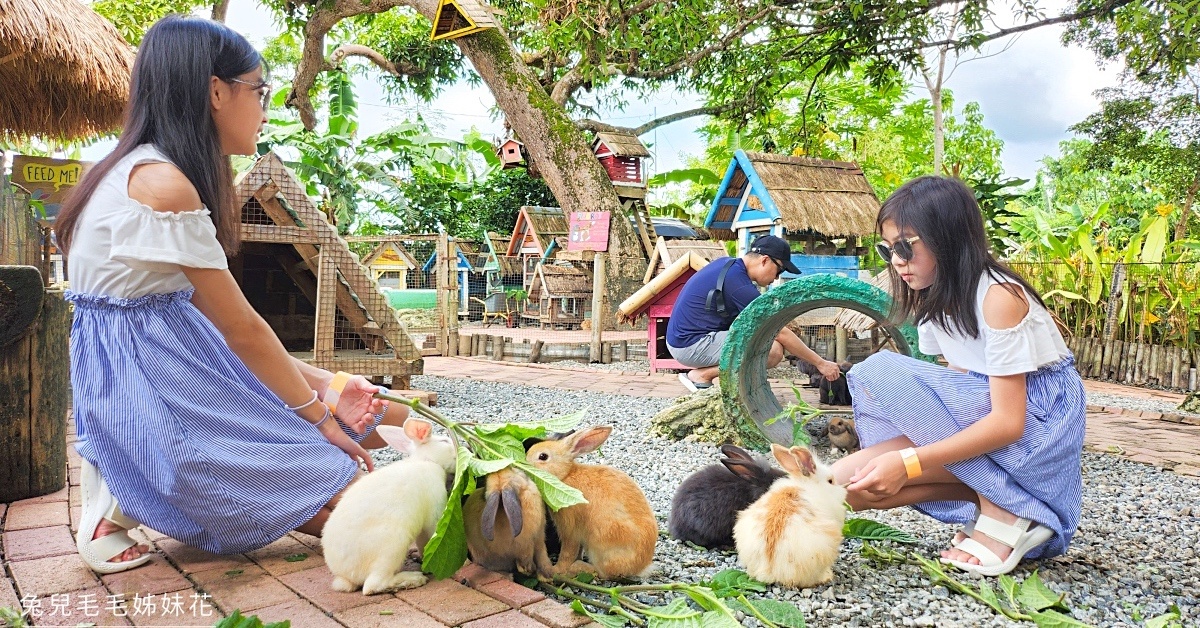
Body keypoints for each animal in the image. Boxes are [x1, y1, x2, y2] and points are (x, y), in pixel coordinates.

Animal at [321, 420, 456, 597]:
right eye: (444, 441)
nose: (465, 449)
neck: (427, 460)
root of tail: (346, 575)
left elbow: (423, 544)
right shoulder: (433, 512)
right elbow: (431, 536)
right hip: (393, 546)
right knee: (372, 586)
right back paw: (414, 579)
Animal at [525, 427, 657, 581]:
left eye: (543, 456)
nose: (524, 462)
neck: (565, 476)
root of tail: (641, 568)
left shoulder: (569, 529)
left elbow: (567, 552)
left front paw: (555, 571)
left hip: (602, 546)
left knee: (603, 573)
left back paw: (576, 568)